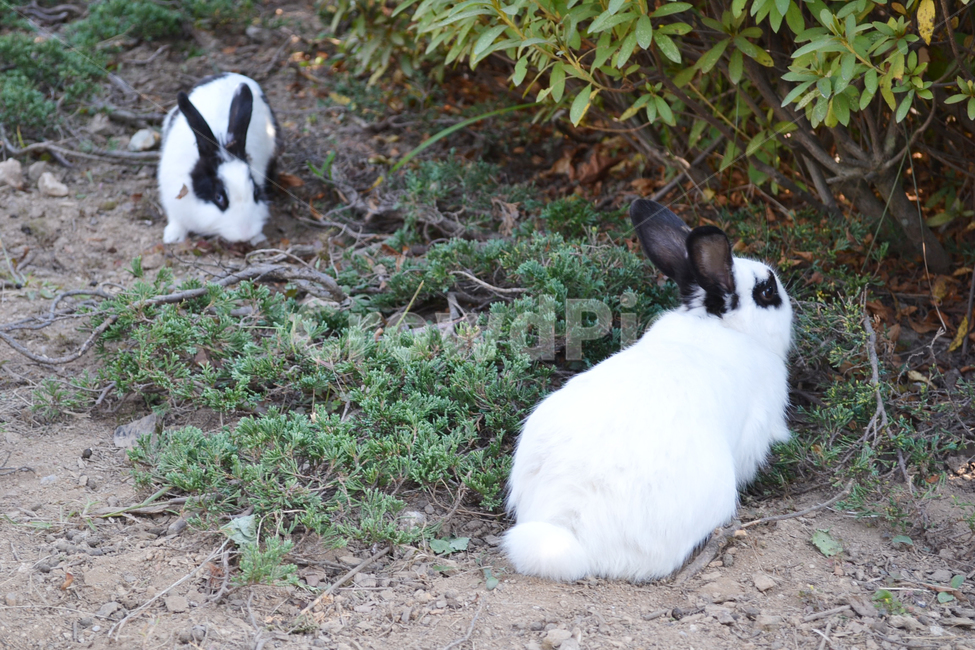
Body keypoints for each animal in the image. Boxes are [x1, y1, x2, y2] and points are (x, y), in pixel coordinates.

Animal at [157, 73, 279, 244]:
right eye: (218, 197)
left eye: (255, 192)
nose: (245, 233)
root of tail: (230, 74)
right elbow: (176, 220)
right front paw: (173, 237)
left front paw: (257, 238)